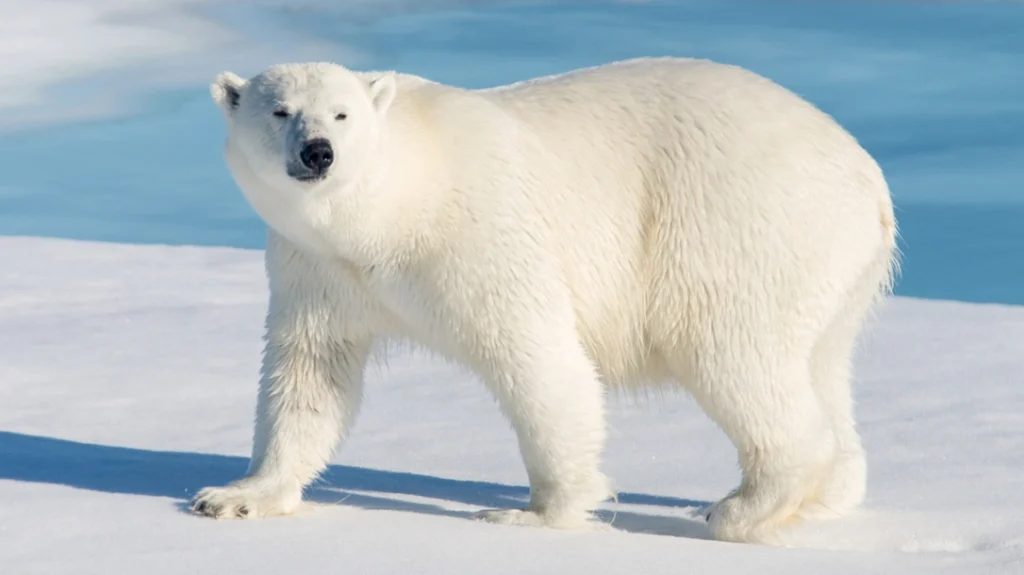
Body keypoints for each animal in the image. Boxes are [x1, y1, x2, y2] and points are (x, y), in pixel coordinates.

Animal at [190, 57, 899, 545]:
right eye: (279, 110)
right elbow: (310, 373)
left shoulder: (479, 234)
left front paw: (533, 513)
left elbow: (537, 357)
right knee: (820, 365)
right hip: (832, 269)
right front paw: (234, 496)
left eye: (342, 114)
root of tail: (868, 176)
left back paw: (740, 507)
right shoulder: (318, 268)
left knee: (733, 354)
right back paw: (825, 496)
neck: (392, 208)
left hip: (737, 226)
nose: (319, 153)